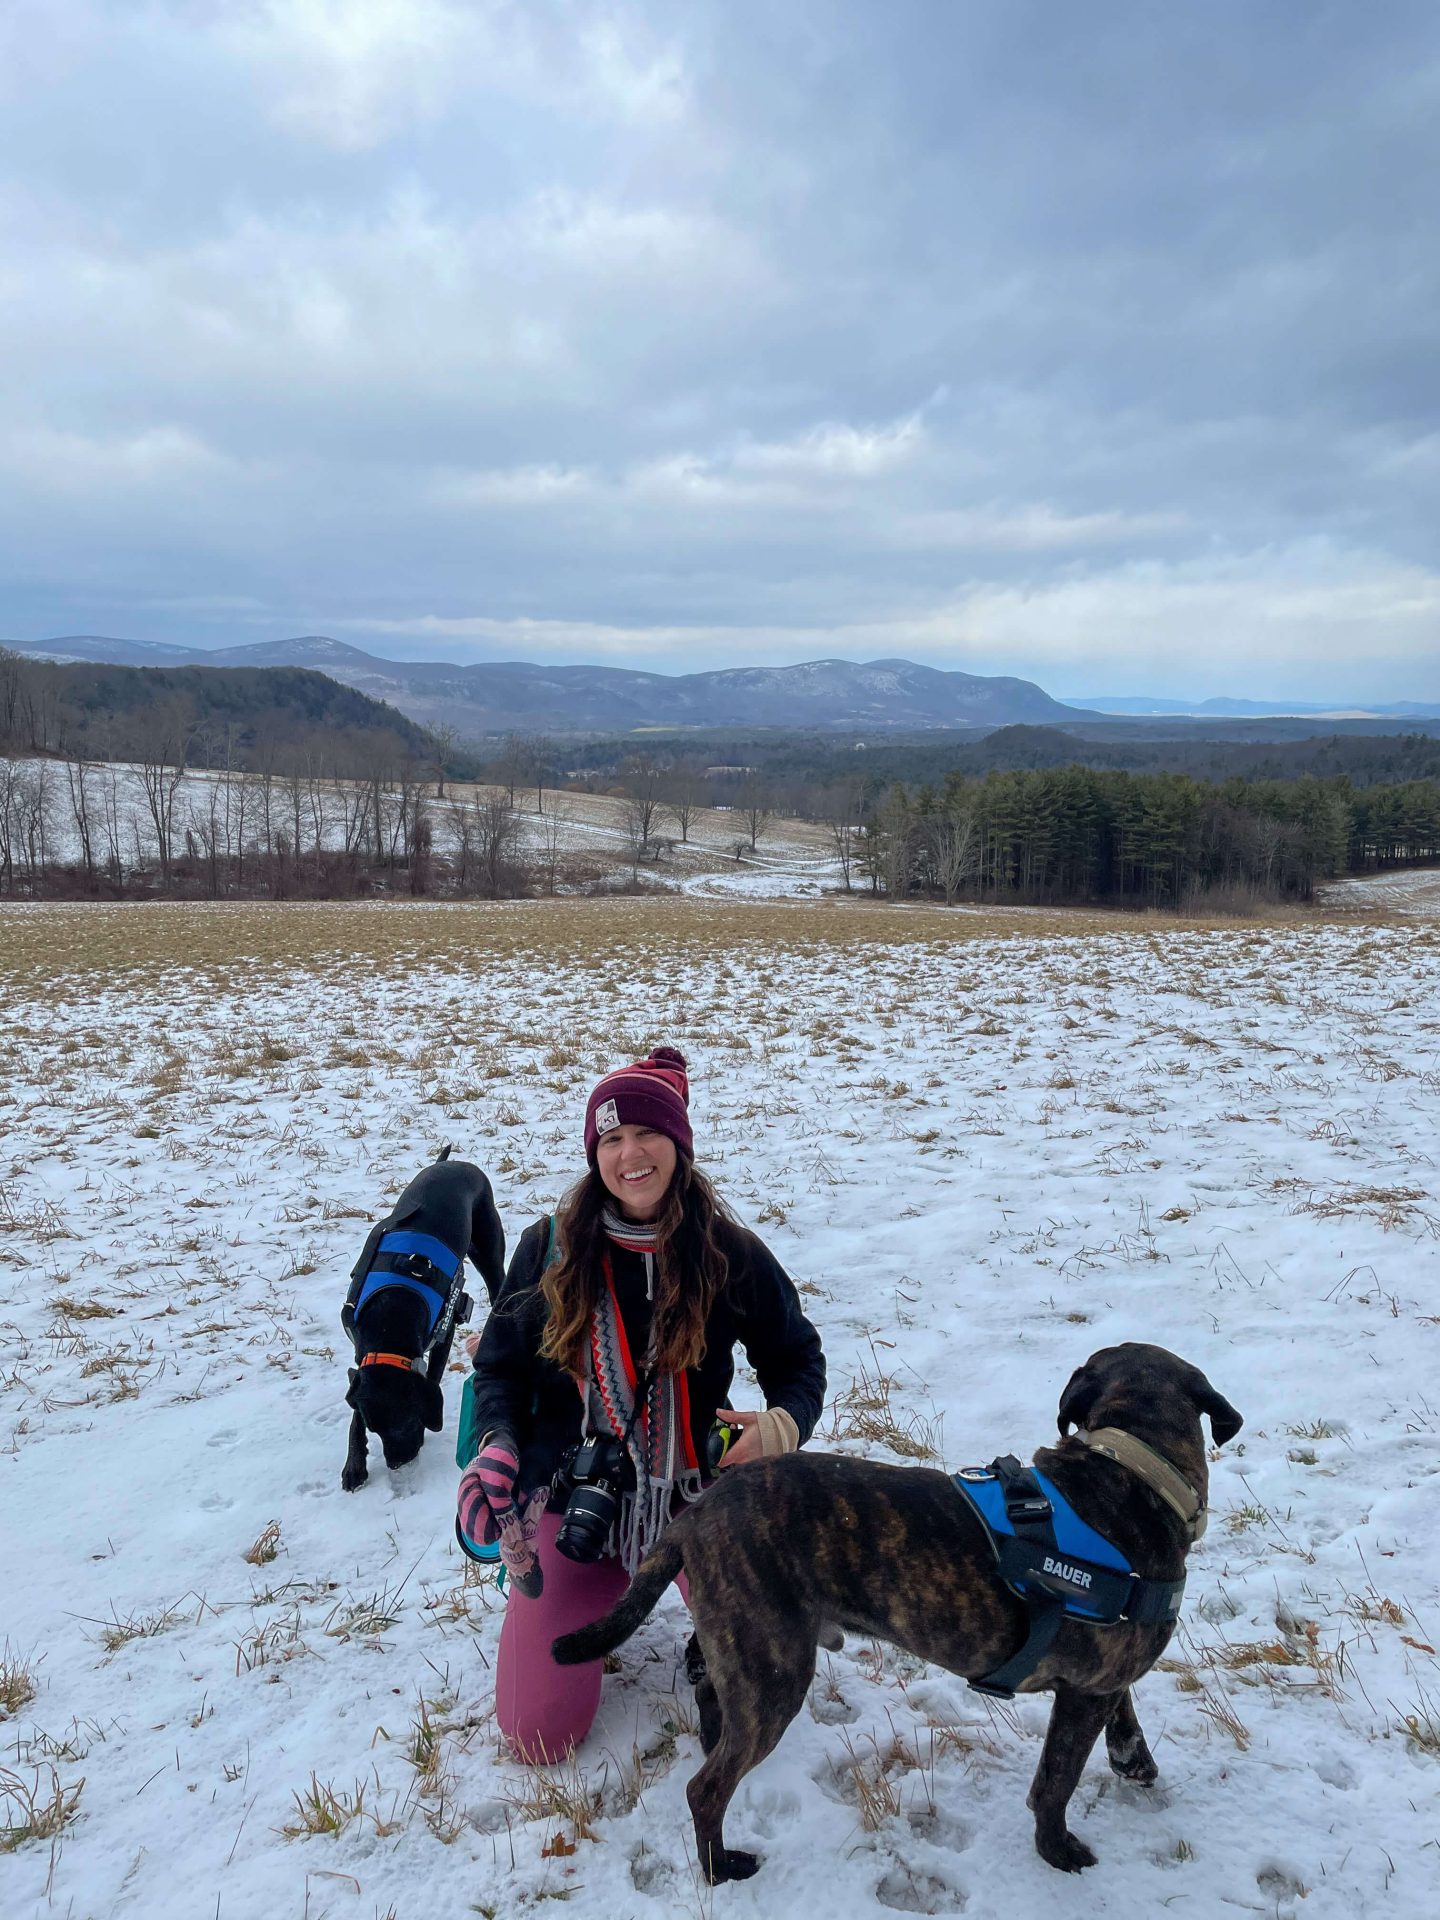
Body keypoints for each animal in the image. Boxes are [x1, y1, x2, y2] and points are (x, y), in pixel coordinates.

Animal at [343, 1144, 506, 1489]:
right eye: (376, 1430)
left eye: (406, 1424)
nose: (397, 1463)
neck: (393, 1312)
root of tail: (455, 1164)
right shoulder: (362, 1352)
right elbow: (355, 1409)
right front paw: (354, 1463)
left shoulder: (445, 1328)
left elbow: (432, 1375)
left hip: (488, 1251)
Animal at [552, 1344, 1244, 1881]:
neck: (1134, 1469)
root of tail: (695, 1514)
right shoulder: (1084, 1691)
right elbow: (1057, 1780)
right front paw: (1057, 1851)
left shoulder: (1102, 1679)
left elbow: (1124, 1713)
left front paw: (1133, 1760)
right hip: (776, 1672)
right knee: (706, 1791)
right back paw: (721, 1868)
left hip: (747, 1654)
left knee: (711, 1704)